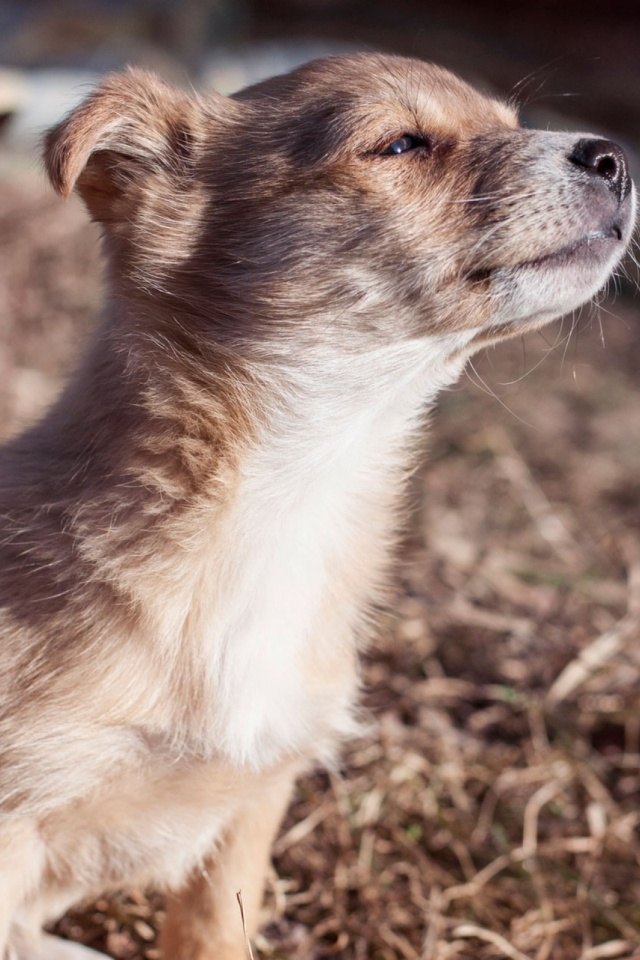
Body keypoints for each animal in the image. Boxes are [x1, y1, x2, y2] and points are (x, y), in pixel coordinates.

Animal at [0, 52, 632, 960]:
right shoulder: (18, 816)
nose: (616, 157)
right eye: (400, 144)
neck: (293, 494)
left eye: (511, 125)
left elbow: (212, 933)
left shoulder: (255, 799)